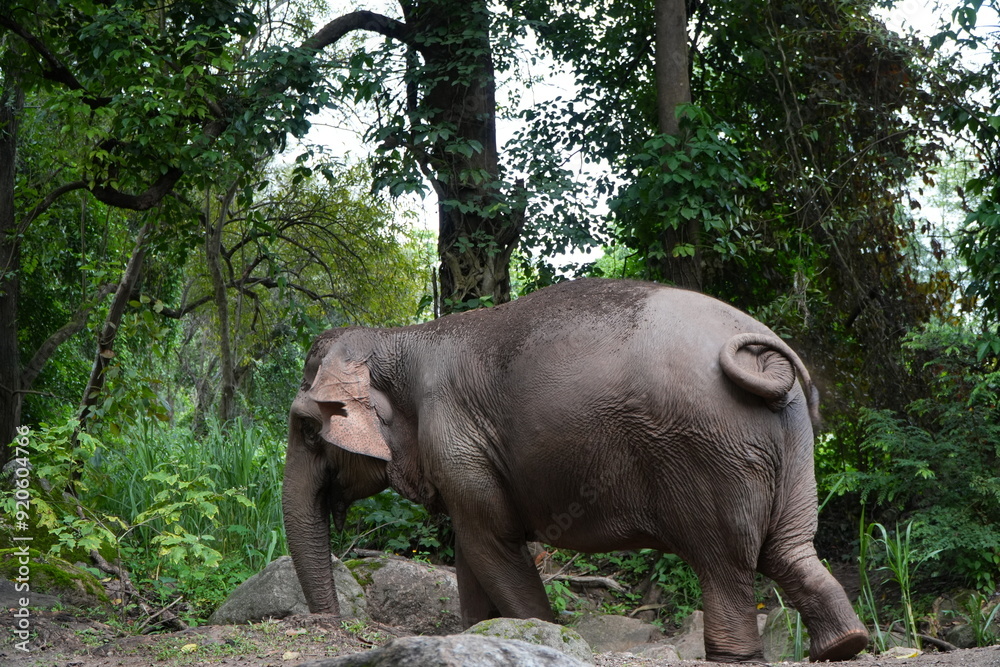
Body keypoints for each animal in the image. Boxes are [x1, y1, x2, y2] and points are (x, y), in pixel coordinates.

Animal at [282, 278, 869, 662]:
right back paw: (845, 645)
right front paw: (481, 634)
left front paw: (539, 633)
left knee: (723, 561)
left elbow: (492, 544)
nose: (326, 626)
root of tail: (766, 358)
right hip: (793, 441)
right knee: (788, 548)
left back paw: (737, 656)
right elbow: (473, 548)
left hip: (706, 451)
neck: (399, 338)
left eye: (309, 428)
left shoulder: (453, 433)